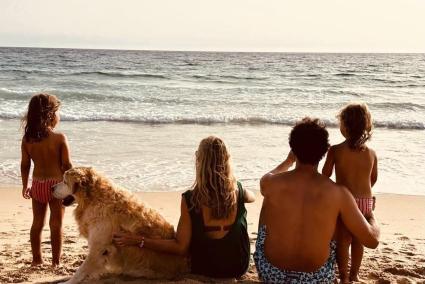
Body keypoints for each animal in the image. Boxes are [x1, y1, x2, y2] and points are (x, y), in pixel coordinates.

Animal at [52, 168, 188, 282]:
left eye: (64, 182)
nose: (52, 187)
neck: (94, 199)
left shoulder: (99, 246)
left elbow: (82, 269)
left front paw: (69, 282)